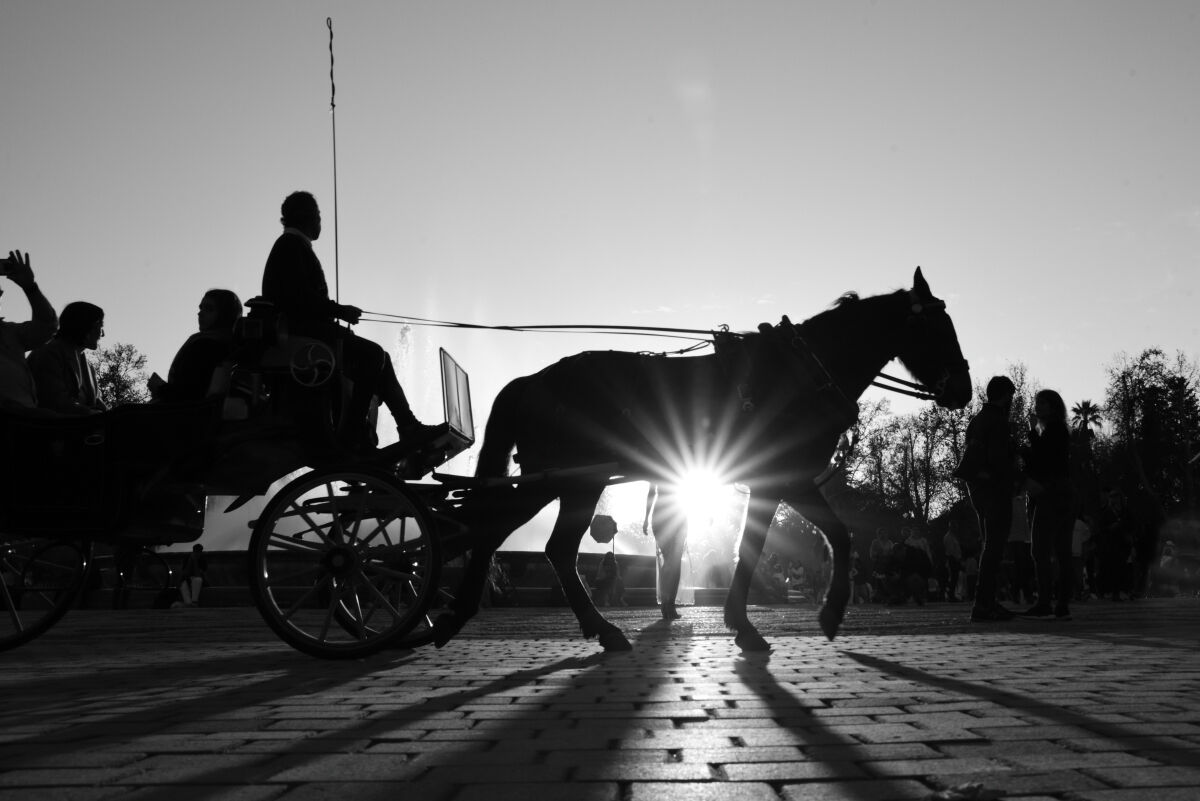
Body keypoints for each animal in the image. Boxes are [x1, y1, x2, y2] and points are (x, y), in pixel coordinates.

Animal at [438, 268, 971, 651]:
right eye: (937, 326)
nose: (964, 391)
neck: (804, 371)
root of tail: (532, 380)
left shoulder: (791, 479)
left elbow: (829, 536)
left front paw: (812, 613)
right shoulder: (779, 480)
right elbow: (765, 546)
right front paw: (760, 622)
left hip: (564, 482)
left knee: (531, 541)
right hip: (565, 481)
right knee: (527, 540)